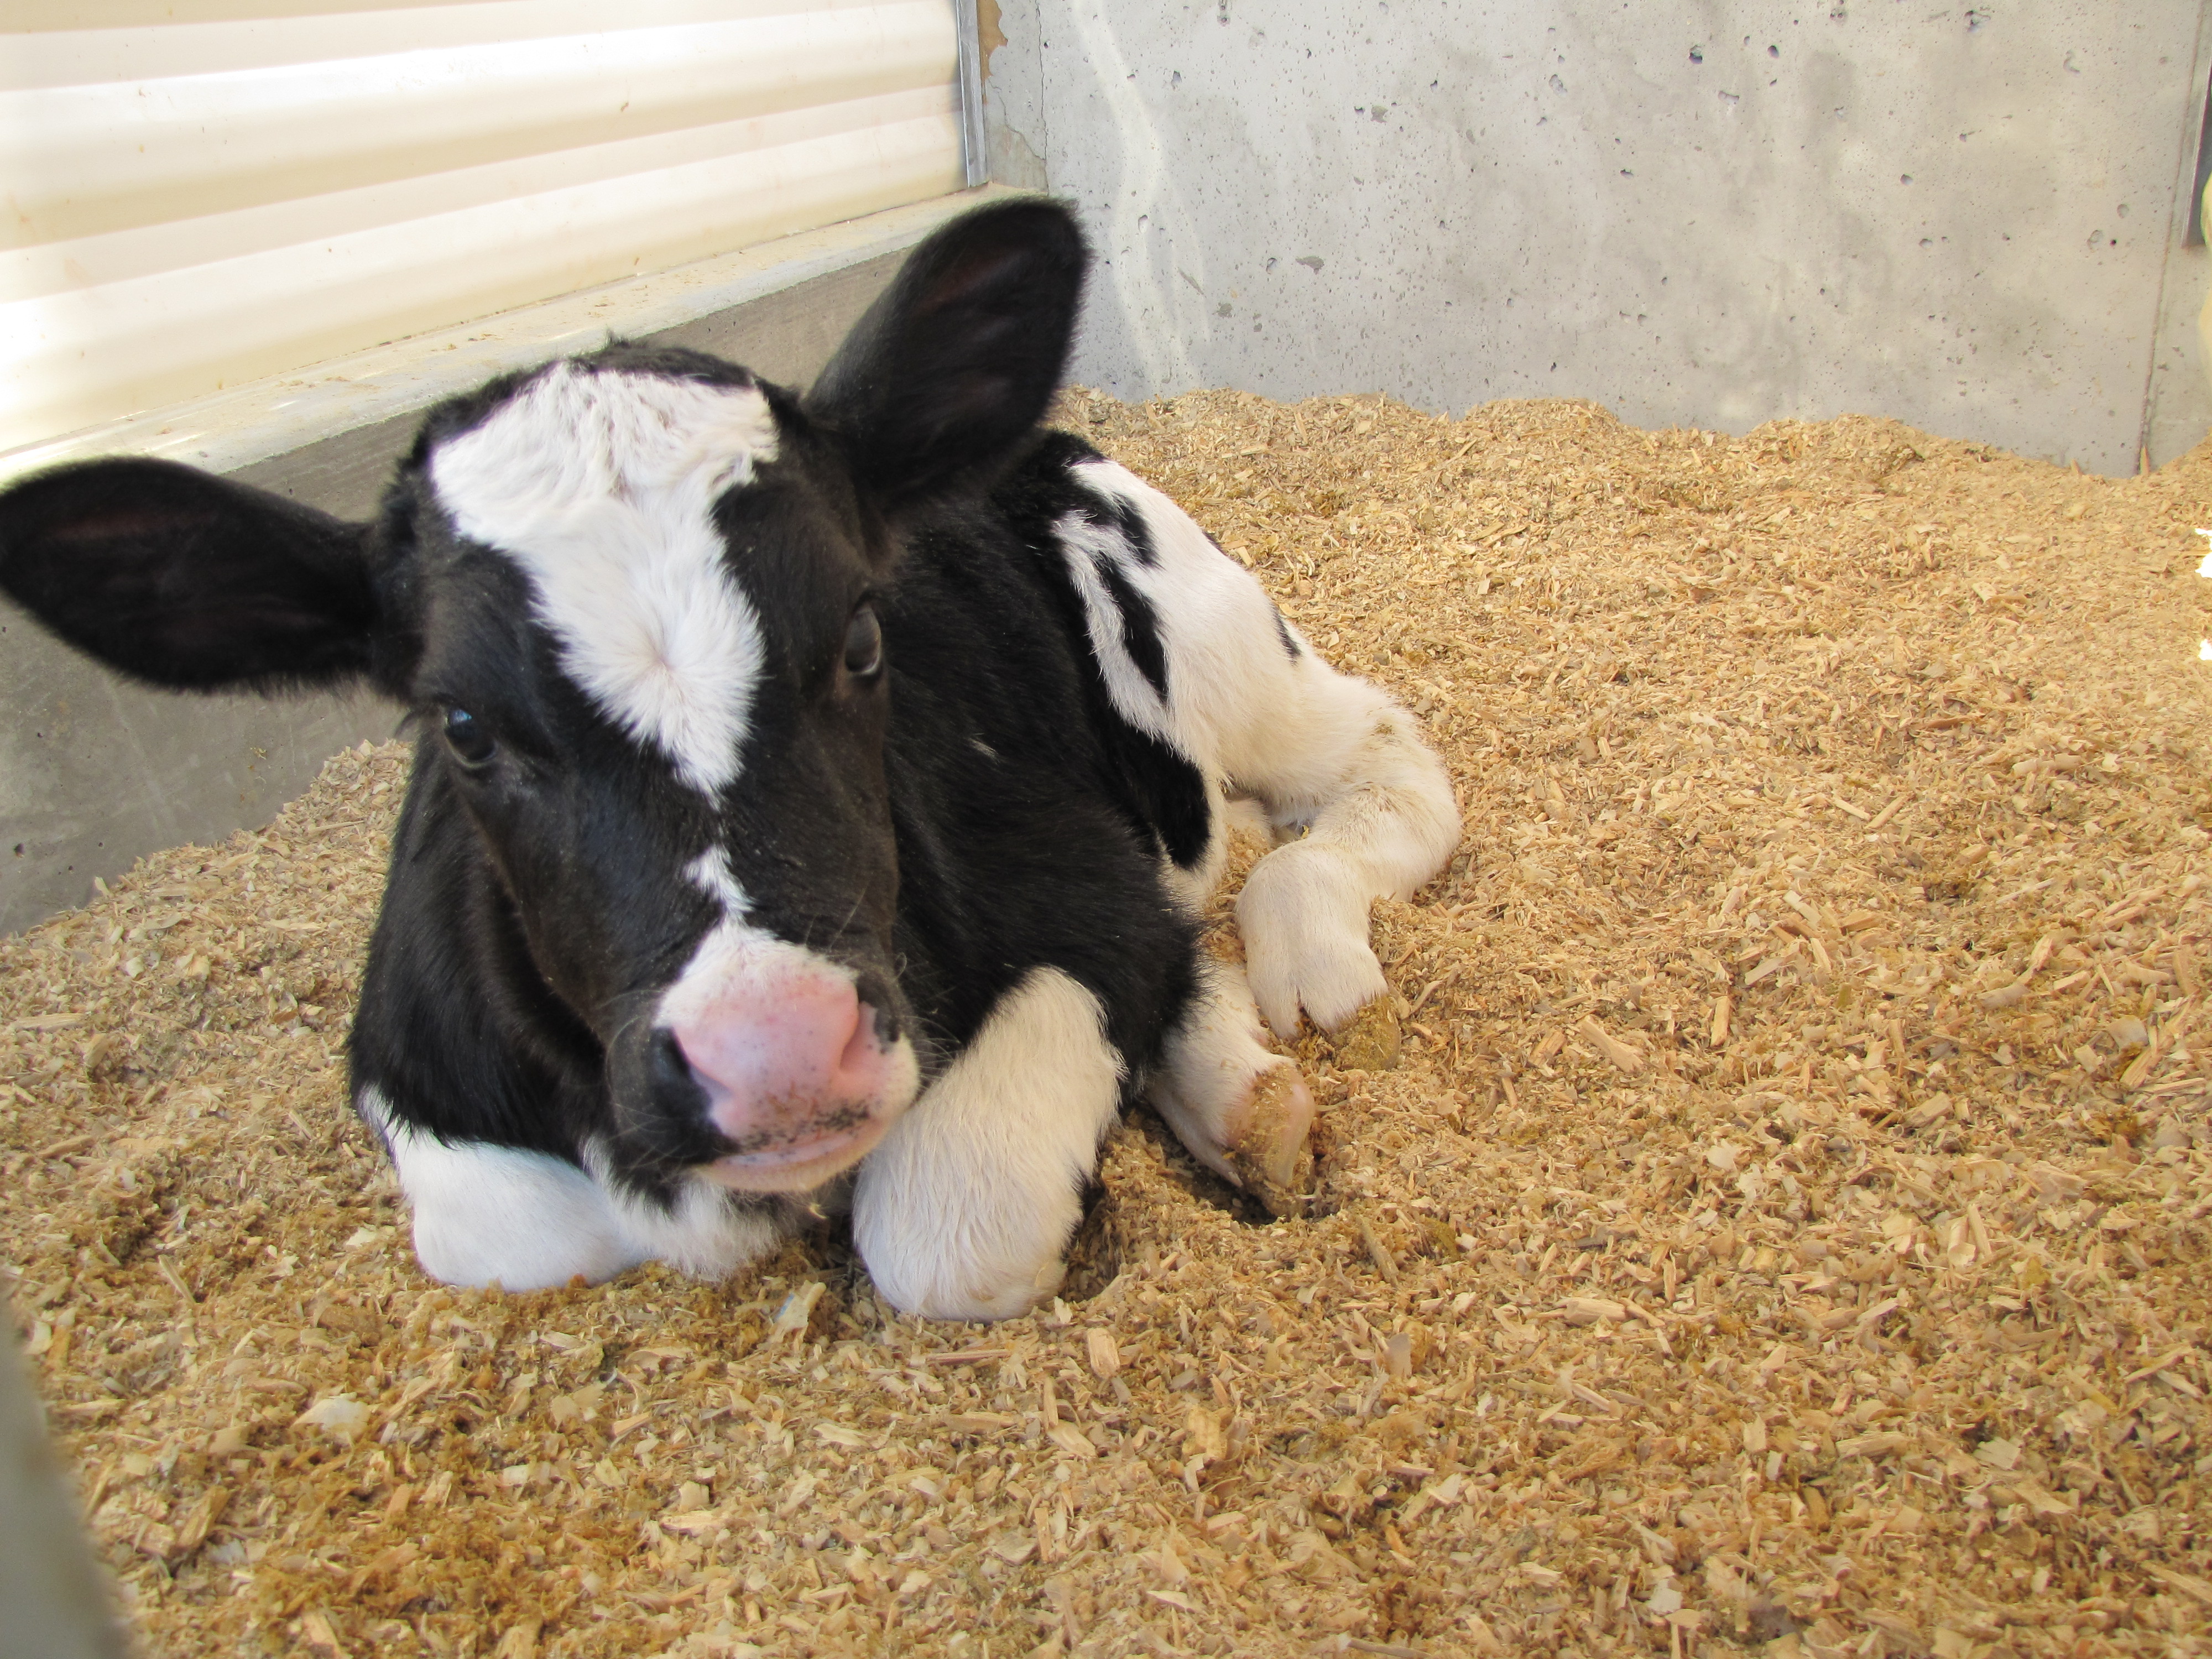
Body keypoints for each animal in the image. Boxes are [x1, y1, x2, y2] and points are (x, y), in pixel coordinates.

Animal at [0, 201, 1459, 1320]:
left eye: (861, 636)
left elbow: (949, 1222)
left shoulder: (1073, 891)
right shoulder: (419, 1078)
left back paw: (1291, 987)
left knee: (1376, 774)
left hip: (1211, 635)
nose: (779, 1060)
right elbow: (510, 1234)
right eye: (460, 727)